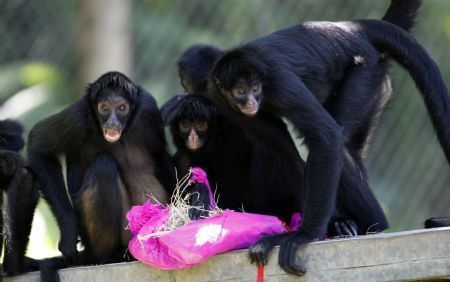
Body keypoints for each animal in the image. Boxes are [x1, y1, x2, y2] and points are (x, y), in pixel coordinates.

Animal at [10, 71, 175, 278]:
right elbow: (39, 147)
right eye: (104, 108)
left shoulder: (147, 107)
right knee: (103, 164)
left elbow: (160, 155)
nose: (112, 122)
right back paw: (109, 256)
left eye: (122, 108)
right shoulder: (80, 115)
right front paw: (69, 236)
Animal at [209, 1, 448, 276]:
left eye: (256, 88)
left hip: (365, 71)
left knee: (339, 144)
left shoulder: (279, 81)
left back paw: (375, 225)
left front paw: (305, 235)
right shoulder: (218, 95)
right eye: (240, 91)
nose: (250, 102)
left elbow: (325, 135)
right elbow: (279, 144)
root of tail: (350, 28)